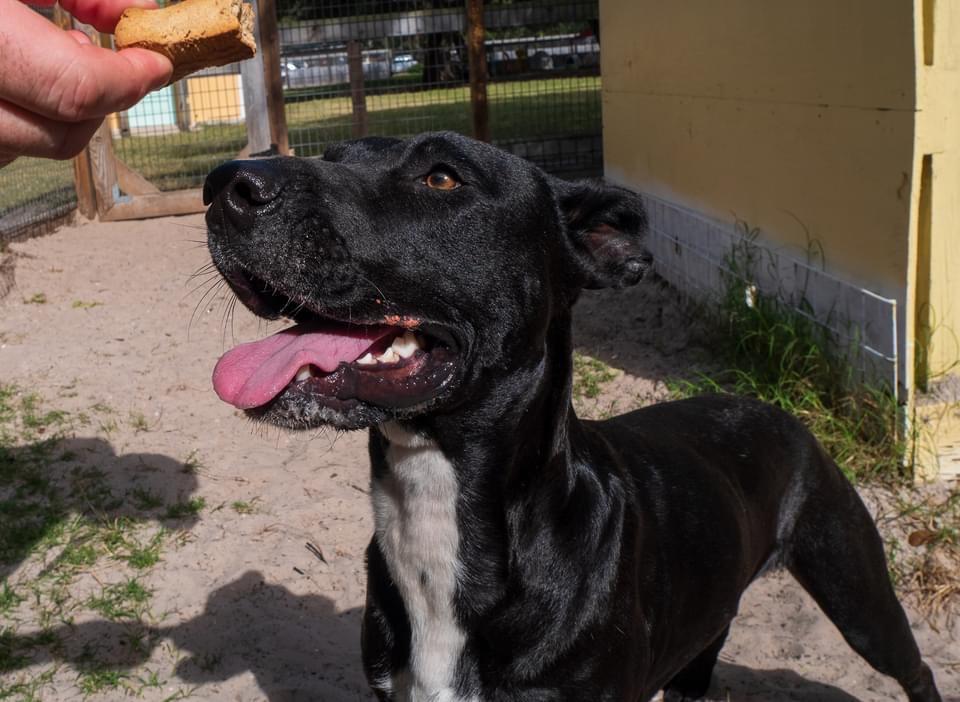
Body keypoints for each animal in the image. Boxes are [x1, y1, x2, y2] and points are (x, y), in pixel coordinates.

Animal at [204, 132, 944, 702]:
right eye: (333, 155)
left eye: (441, 176)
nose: (224, 185)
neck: (437, 511)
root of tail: (773, 409)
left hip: (855, 589)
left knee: (917, 669)